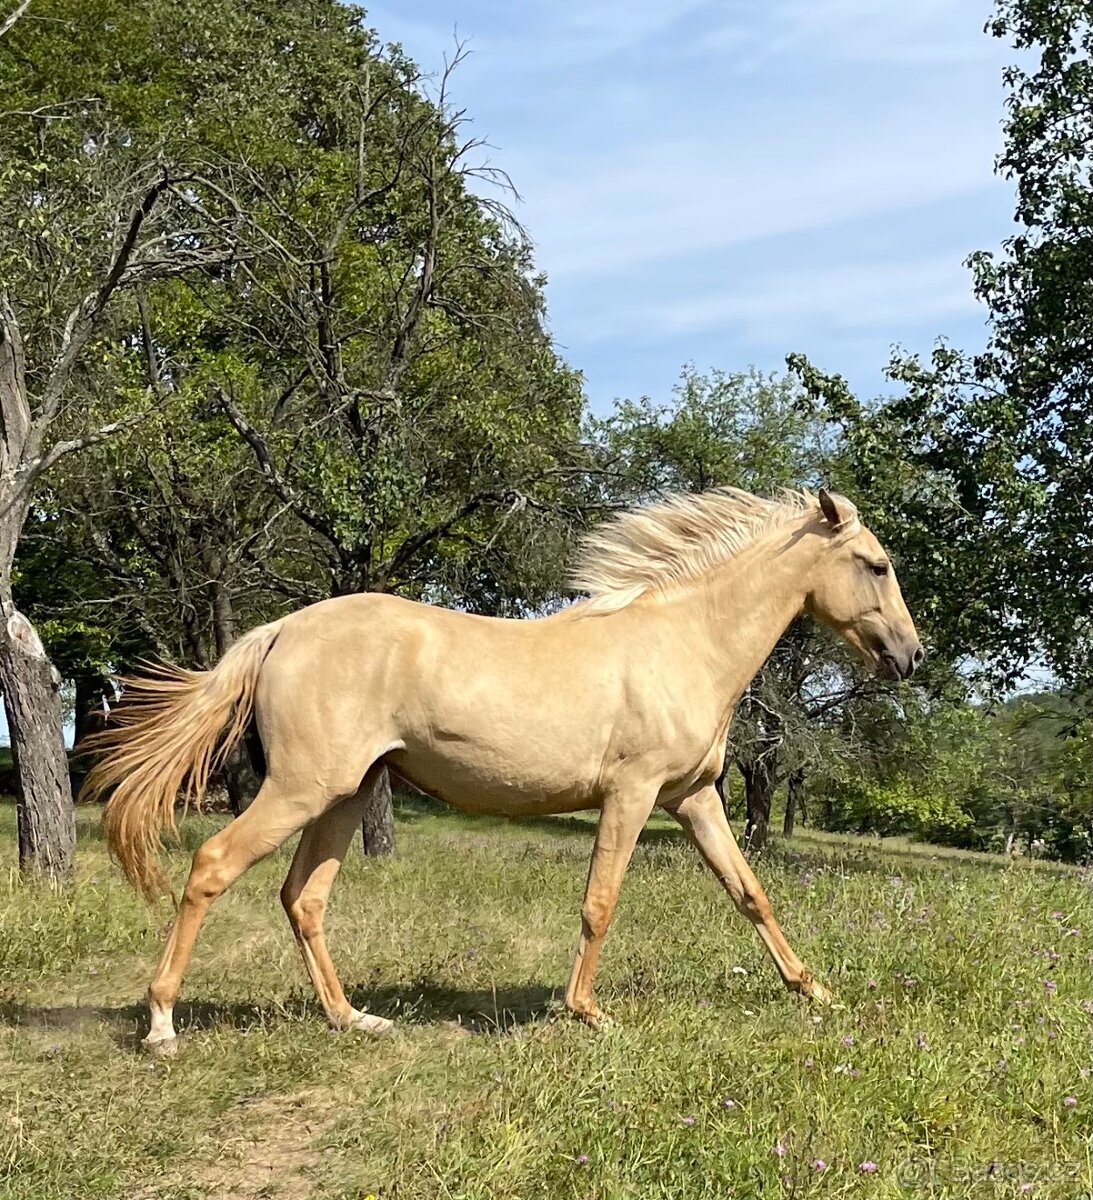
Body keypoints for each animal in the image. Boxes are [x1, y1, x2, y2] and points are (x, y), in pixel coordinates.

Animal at [83, 484, 921, 1051]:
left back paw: (353, 1018)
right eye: (875, 565)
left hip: (345, 795)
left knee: (303, 898)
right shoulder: (632, 793)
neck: (684, 641)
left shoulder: (693, 798)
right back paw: (161, 1024)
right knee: (213, 865)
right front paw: (588, 1012)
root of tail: (284, 628)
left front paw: (814, 991)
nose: (910, 656)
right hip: (299, 789)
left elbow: (750, 893)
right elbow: (599, 902)